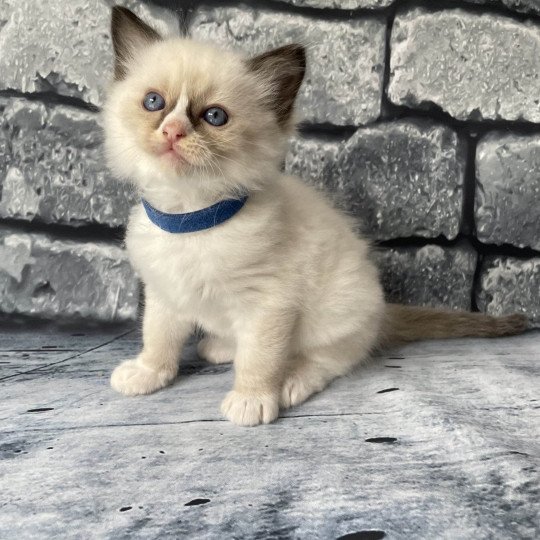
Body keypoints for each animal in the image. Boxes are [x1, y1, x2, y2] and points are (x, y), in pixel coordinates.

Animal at [104, 5, 528, 426]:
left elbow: (259, 358)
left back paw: (292, 381)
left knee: (330, 359)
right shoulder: (164, 293)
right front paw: (147, 374)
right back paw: (221, 346)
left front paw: (252, 400)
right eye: (154, 102)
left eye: (214, 117)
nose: (173, 132)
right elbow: (158, 338)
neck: (189, 217)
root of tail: (382, 313)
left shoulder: (268, 303)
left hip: (337, 311)